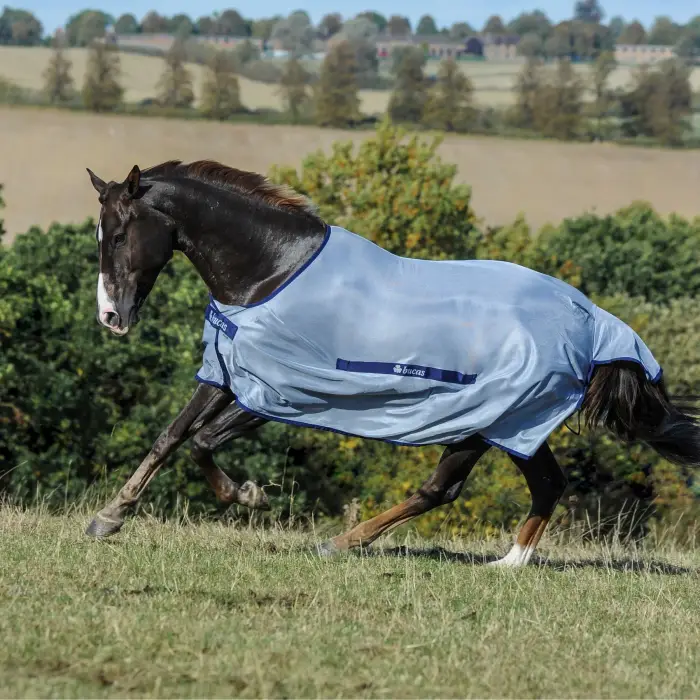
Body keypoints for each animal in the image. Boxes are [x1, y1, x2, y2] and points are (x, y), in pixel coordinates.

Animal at [84, 160, 700, 567]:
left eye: (119, 233)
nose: (111, 316)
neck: (270, 273)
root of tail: (591, 320)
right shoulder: (229, 373)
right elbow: (171, 437)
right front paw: (108, 518)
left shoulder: (281, 393)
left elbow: (203, 442)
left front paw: (250, 496)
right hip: (513, 424)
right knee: (547, 483)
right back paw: (508, 564)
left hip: (481, 422)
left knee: (441, 489)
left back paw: (342, 542)